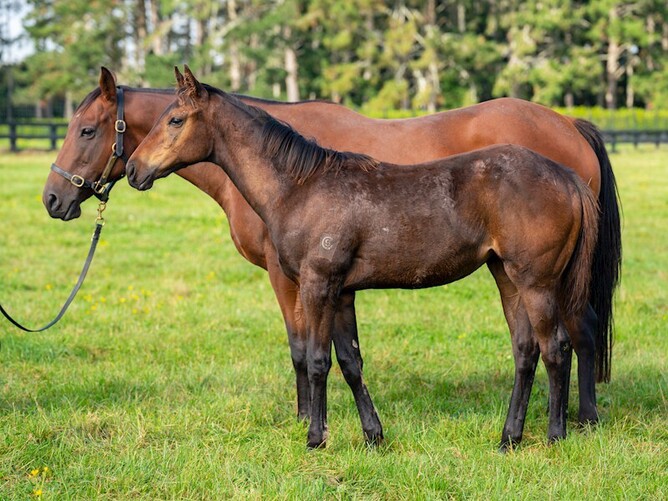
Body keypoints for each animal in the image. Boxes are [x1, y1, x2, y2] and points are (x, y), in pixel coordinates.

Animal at [43, 66, 618, 437]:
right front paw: (371, 434)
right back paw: (511, 436)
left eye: (88, 129)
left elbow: (312, 356)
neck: (301, 183)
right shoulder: (342, 291)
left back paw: (563, 431)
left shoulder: (311, 282)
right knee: (527, 350)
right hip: (506, 276)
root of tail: (565, 170)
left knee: (560, 345)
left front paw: (313, 433)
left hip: (539, 281)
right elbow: (350, 360)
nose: (54, 199)